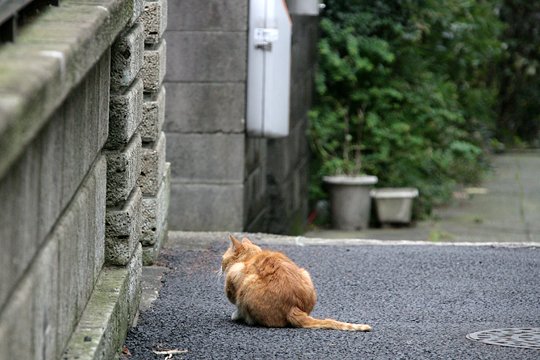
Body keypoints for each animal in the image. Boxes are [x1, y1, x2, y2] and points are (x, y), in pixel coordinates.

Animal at [220, 233, 372, 332]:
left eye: (222, 259)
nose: (220, 268)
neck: (252, 256)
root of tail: (293, 307)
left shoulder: (234, 274)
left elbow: (235, 303)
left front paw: (235, 315)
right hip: (306, 273)